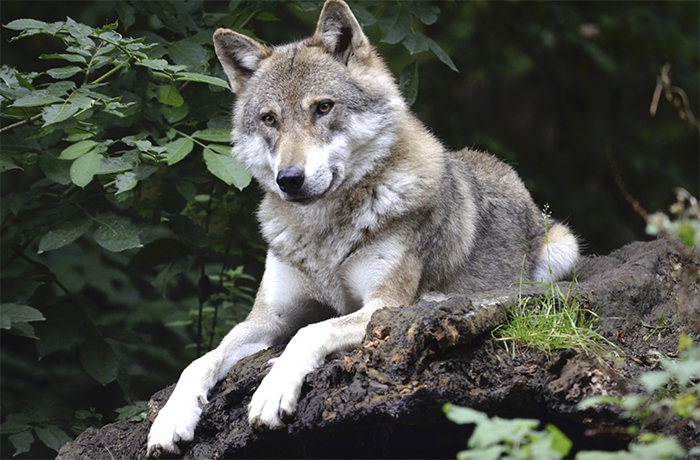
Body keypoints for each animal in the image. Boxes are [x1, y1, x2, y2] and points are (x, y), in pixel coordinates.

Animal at [146, 0, 580, 455]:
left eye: (323, 107)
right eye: (269, 119)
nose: (289, 179)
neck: (323, 234)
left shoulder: (380, 305)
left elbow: (309, 333)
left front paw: (272, 391)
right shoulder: (267, 318)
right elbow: (201, 360)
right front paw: (170, 419)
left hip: (561, 249)